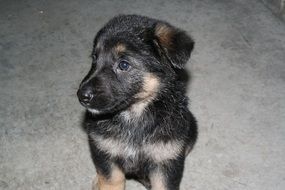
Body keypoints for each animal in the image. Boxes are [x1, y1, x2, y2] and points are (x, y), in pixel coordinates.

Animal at [77, 14, 197, 190]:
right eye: (94, 58)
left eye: (124, 64)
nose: (81, 96)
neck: (134, 115)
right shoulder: (105, 153)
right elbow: (111, 180)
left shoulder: (166, 161)